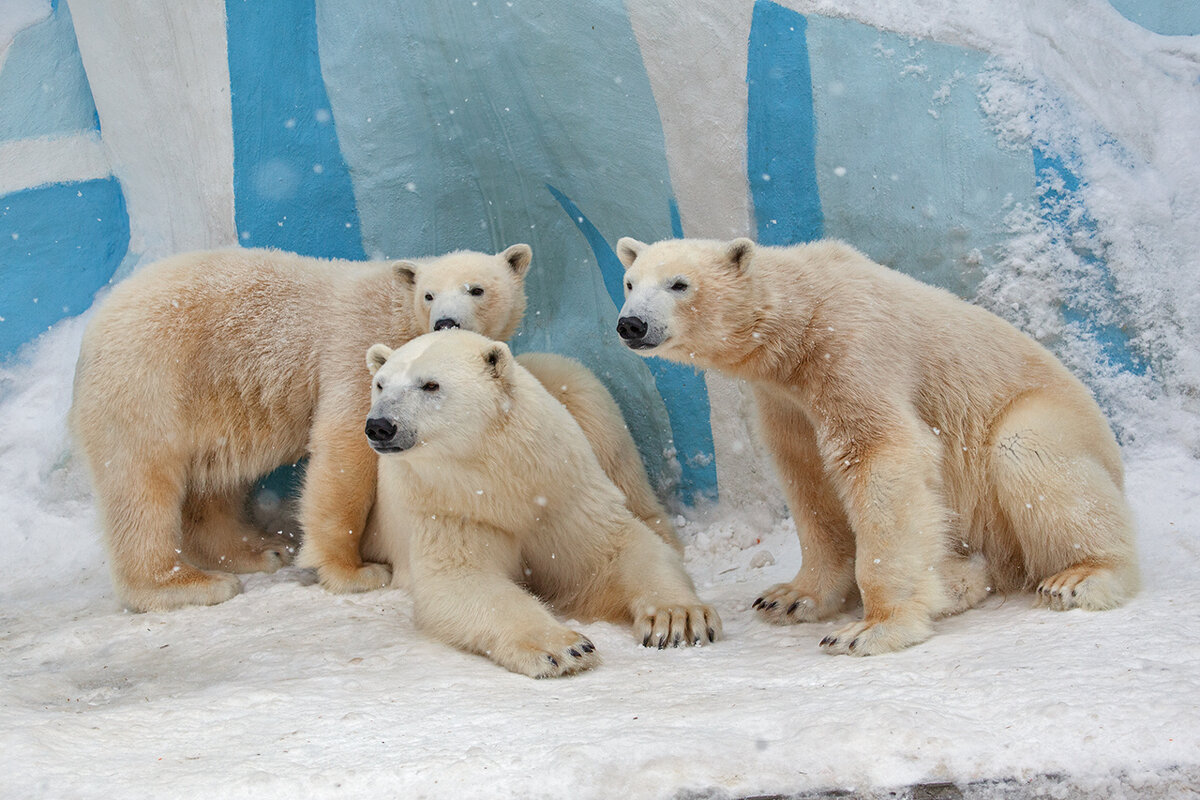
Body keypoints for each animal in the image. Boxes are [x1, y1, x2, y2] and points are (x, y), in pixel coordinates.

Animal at [69, 241, 530, 609]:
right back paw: (189, 584)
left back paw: (260, 551)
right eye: (429, 295)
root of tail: (91, 335)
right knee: (141, 482)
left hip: (209, 401)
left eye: (476, 289)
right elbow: (344, 447)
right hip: (149, 381)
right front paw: (355, 572)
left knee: (214, 481)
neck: (401, 312)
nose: (446, 322)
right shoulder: (359, 348)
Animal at [614, 232, 1137, 657]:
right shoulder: (786, 399)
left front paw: (869, 629)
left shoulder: (851, 351)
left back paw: (1080, 576)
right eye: (630, 283)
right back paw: (956, 580)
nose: (631, 325)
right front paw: (788, 597)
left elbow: (881, 455)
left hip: (1042, 420)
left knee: (1029, 454)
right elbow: (809, 479)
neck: (801, 321)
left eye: (679, 284)